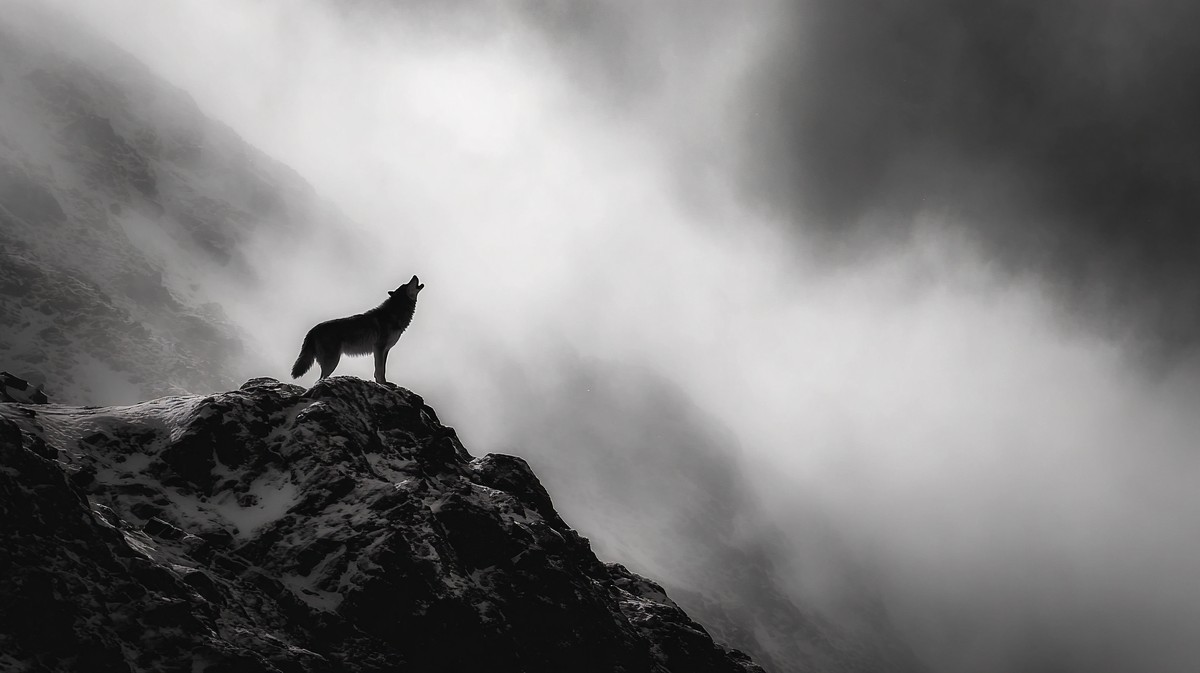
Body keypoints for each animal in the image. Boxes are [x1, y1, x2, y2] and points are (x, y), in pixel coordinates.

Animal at [291, 275, 424, 383]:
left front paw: (384, 383)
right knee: (319, 380)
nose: (414, 275)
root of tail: (312, 330)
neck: (395, 313)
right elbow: (380, 370)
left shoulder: (385, 350)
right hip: (332, 362)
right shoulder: (379, 348)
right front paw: (383, 384)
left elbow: (381, 370)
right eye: (406, 284)